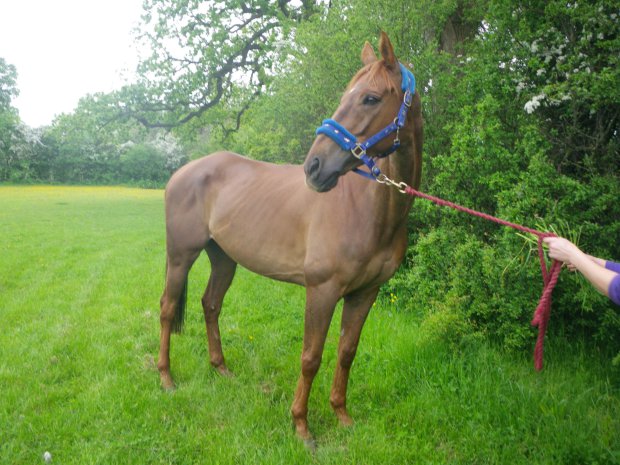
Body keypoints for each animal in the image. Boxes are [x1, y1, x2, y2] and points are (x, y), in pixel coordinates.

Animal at [157, 32, 424, 442]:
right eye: (346, 94)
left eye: (370, 98)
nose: (314, 167)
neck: (369, 211)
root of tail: (182, 171)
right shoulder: (322, 290)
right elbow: (311, 357)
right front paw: (301, 426)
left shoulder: (366, 293)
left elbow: (347, 352)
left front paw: (342, 416)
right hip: (181, 256)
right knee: (168, 309)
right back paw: (167, 378)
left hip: (224, 259)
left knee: (210, 304)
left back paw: (221, 368)